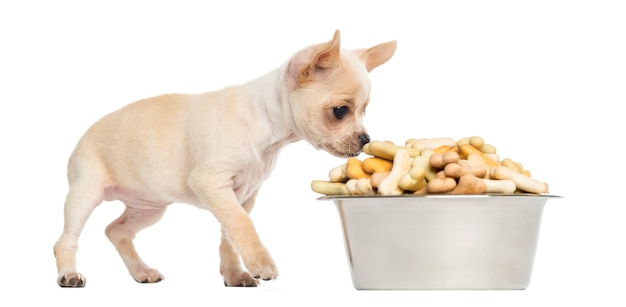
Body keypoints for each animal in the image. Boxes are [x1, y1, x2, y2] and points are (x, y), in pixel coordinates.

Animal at [53, 30, 394, 288]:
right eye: (340, 111)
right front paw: (261, 262)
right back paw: (69, 274)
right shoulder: (213, 184)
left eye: (364, 111)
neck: (268, 127)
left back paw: (141, 271)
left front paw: (234, 274)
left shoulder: (243, 195)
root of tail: (82, 135)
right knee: (67, 239)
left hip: (149, 208)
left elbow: (230, 234)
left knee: (117, 231)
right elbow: (243, 225)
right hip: (85, 193)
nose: (365, 140)